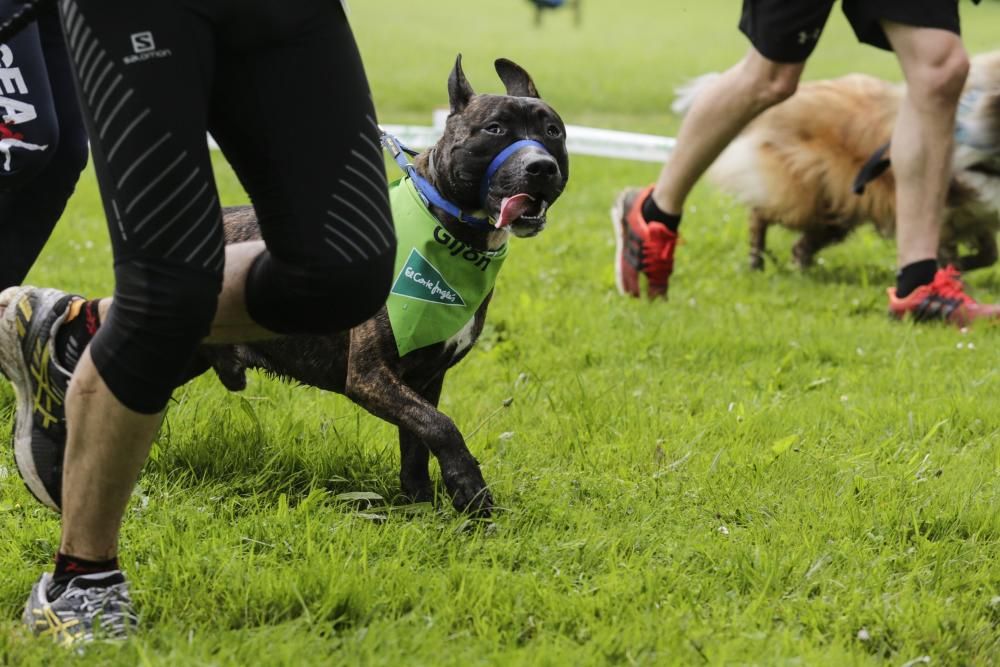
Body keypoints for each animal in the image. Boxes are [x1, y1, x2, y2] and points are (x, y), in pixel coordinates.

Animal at [201, 56, 572, 516]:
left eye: (552, 132)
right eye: (494, 129)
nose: (541, 166)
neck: (448, 230)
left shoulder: (425, 379)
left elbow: (419, 439)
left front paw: (419, 503)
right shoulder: (370, 375)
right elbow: (442, 427)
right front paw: (470, 489)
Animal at [684, 51, 1000, 272]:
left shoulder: (975, 217)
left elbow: (989, 255)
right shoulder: (945, 211)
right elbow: (951, 249)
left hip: (836, 206)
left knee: (802, 243)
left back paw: (801, 266)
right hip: (803, 195)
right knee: (759, 214)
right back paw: (757, 260)